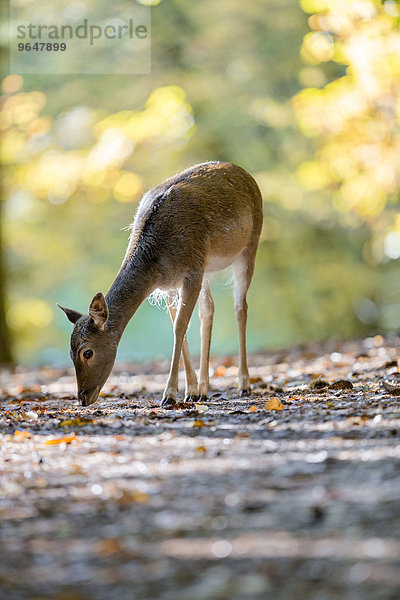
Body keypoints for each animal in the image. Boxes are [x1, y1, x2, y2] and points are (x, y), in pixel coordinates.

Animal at [58, 162, 262, 408]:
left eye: (86, 352)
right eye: (69, 353)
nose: (83, 398)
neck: (157, 264)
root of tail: (244, 172)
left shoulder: (192, 272)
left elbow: (180, 327)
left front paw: (169, 395)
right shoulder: (169, 285)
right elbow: (179, 327)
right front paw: (191, 391)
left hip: (250, 245)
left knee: (240, 308)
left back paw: (244, 384)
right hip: (207, 269)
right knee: (208, 310)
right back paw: (204, 390)